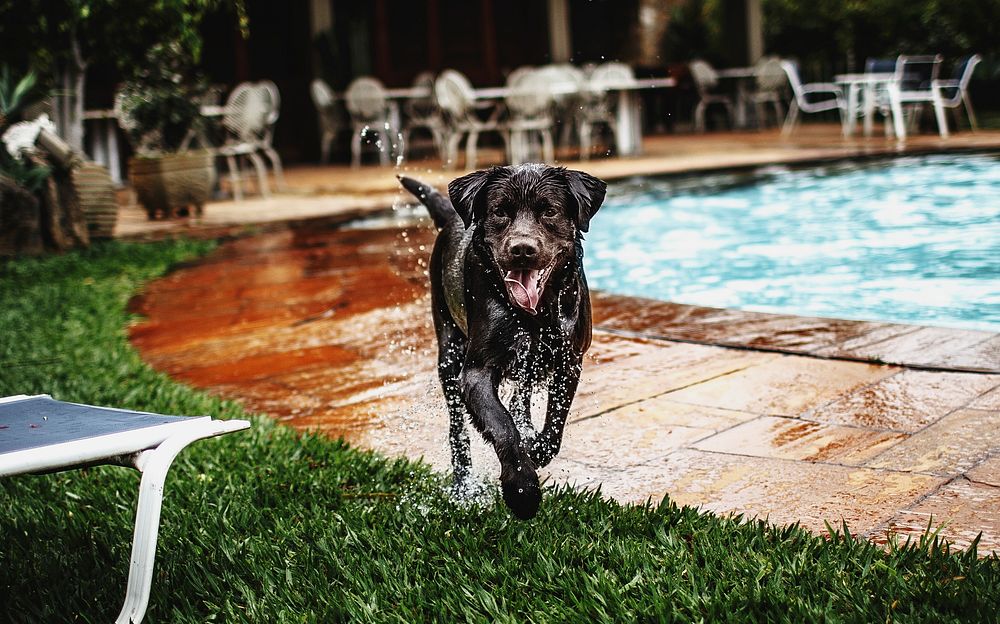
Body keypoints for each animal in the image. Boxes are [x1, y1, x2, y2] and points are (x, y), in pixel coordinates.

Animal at [400, 163, 604, 520]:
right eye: (499, 212)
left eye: (549, 211)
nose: (522, 249)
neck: (535, 315)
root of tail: (452, 216)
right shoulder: (475, 372)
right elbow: (501, 425)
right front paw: (522, 490)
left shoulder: (569, 361)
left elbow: (554, 424)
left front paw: (535, 450)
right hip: (448, 351)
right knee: (458, 429)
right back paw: (463, 485)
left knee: (520, 398)